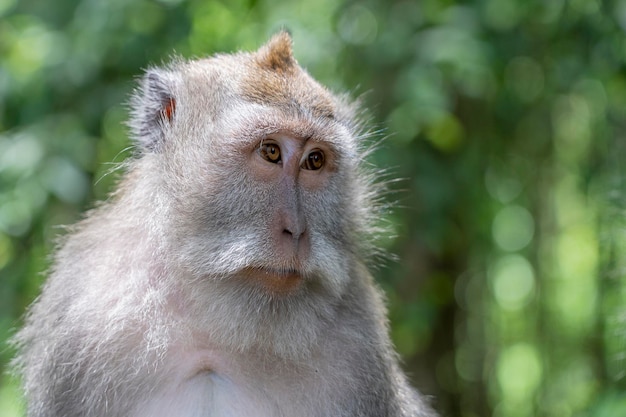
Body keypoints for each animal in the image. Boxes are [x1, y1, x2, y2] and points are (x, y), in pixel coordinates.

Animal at [13, 31, 434, 416]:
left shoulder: (361, 346)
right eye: (270, 151)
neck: (214, 331)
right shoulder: (78, 320)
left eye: (315, 160)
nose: (297, 231)